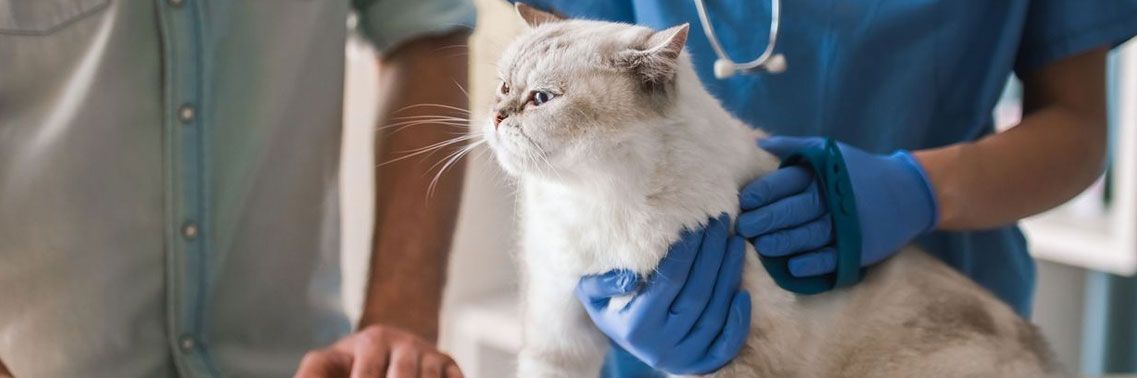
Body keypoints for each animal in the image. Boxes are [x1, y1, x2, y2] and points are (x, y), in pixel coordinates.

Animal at [479, 3, 1064, 378]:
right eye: (504, 86)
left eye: (542, 98)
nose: (497, 116)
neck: (596, 198)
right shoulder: (560, 323)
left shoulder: (730, 354)